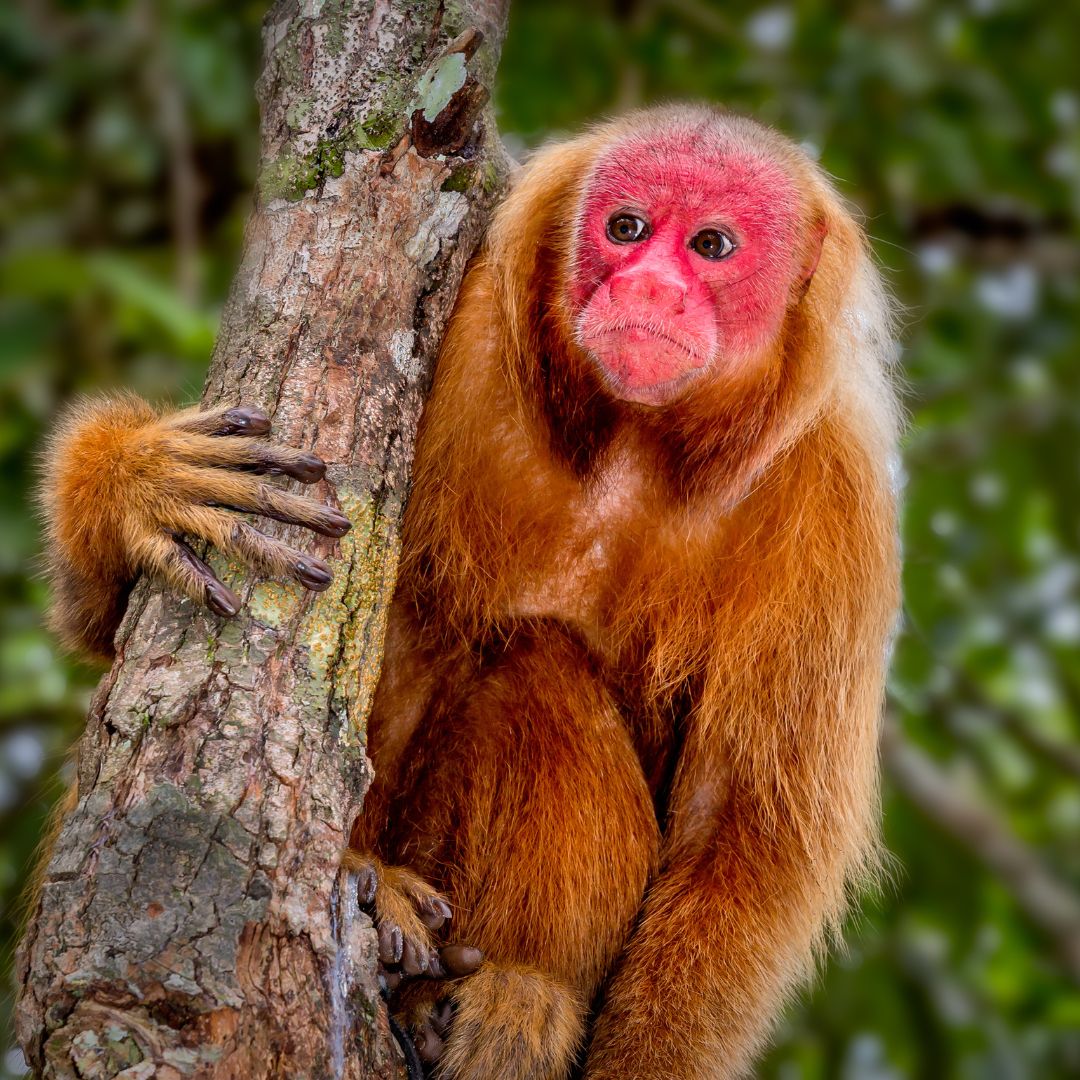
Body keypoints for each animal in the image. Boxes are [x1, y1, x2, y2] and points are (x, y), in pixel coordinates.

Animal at [39, 105, 901, 1079]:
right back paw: (374, 889)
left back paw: (519, 987)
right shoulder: (468, 332)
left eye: (711, 245)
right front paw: (135, 482)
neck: (636, 438)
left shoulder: (835, 498)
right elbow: (103, 624)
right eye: (627, 228)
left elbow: (741, 829)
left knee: (532, 663)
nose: (646, 286)